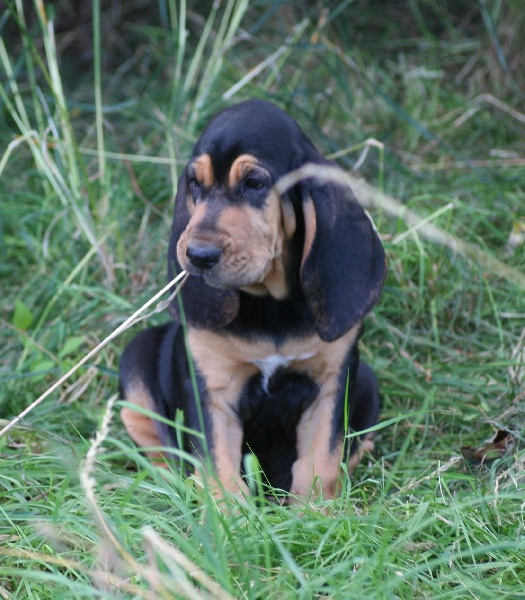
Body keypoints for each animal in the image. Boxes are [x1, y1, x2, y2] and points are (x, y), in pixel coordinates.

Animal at [121, 98, 386, 502]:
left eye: (254, 184)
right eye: (194, 183)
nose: (197, 255)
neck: (269, 307)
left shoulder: (331, 383)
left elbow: (321, 462)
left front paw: (314, 511)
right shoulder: (212, 389)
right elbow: (219, 468)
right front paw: (229, 514)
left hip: (368, 382)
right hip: (135, 363)